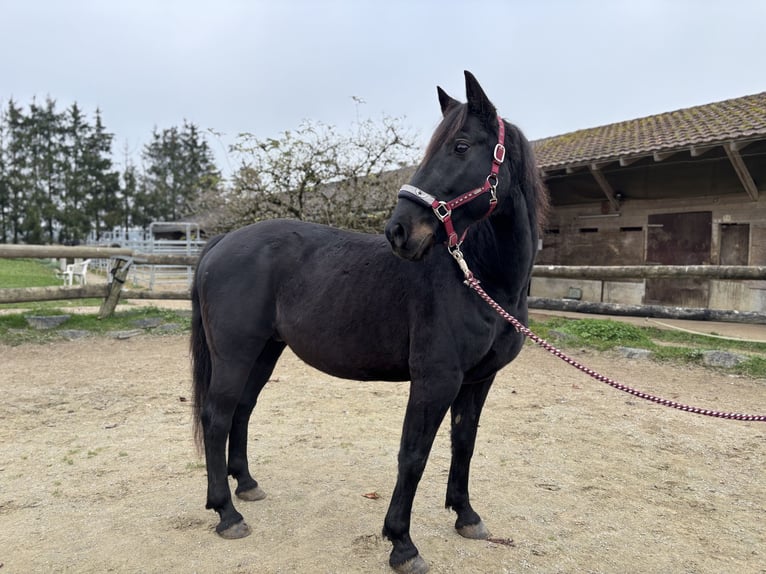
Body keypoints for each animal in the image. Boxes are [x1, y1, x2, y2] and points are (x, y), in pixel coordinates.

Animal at [195, 72, 548, 574]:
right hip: (234, 353)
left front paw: (466, 516)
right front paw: (402, 543)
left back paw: (246, 485)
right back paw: (226, 513)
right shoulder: (435, 379)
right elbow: (413, 455)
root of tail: (222, 241)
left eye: (461, 146)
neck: (479, 276)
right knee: (216, 416)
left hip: (264, 350)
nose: (399, 231)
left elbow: (464, 443)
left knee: (241, 409)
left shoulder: (478, 381)